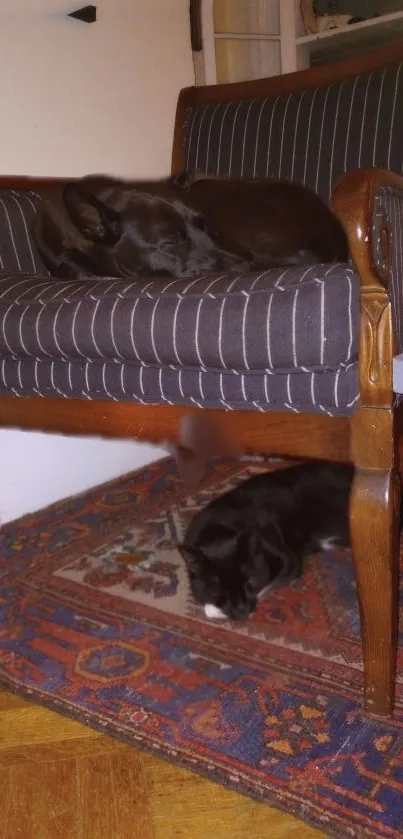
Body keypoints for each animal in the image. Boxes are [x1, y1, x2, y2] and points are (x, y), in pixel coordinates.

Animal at [180, 462, 354, 620]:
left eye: (250, 581)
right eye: (219, 591)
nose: (242, 610)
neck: (218, 527)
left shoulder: (287, 559)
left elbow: (267, 586)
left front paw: (216, 611)